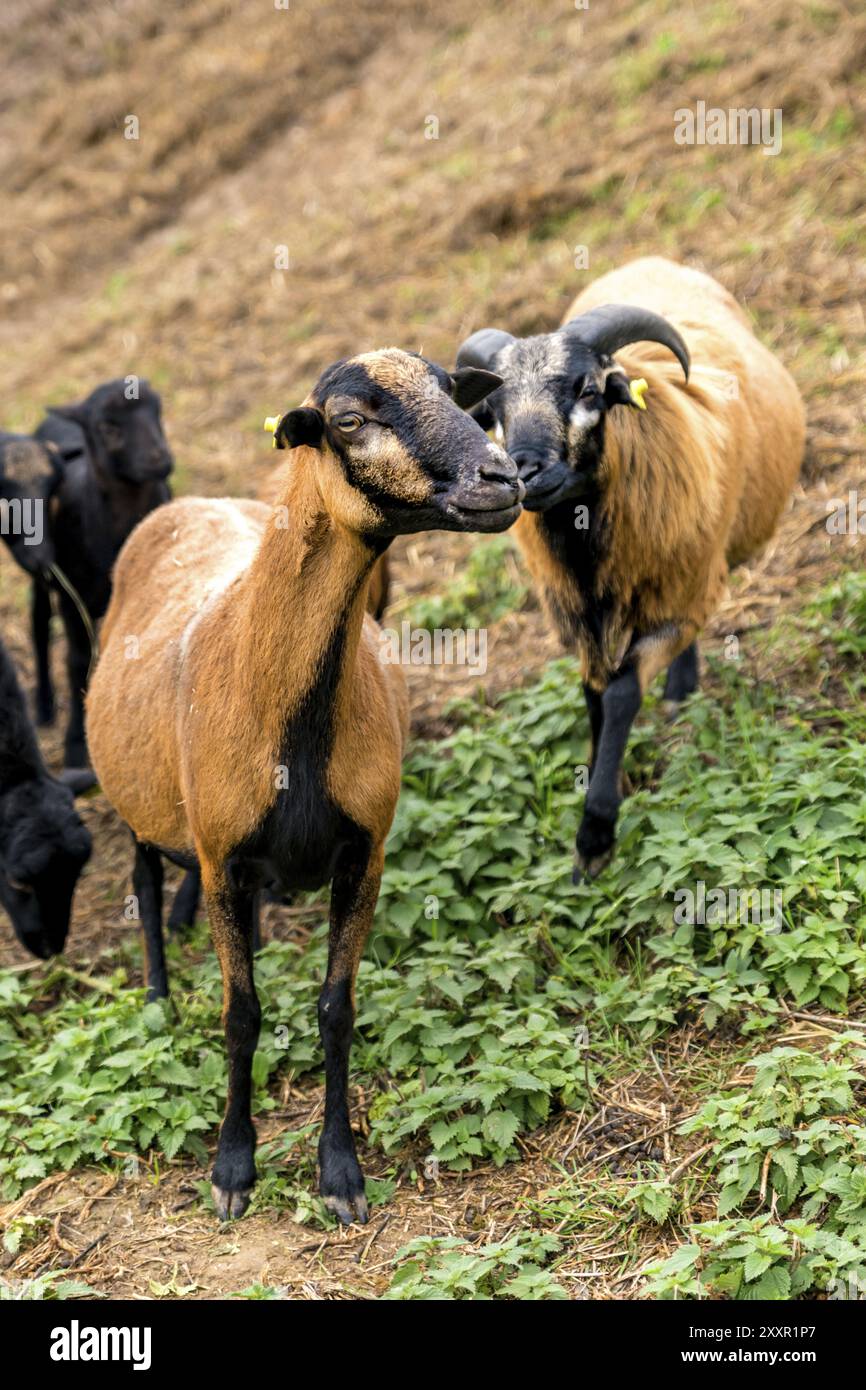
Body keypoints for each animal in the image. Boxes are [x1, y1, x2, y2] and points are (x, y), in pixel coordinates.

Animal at [86, 350, 522, 1228]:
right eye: (349, 421)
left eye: (452, 392)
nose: (501, 478)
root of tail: (195, 501)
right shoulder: (221, 858)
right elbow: (241, 1014)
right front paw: (232, 1168)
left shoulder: (364, 853)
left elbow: (335, 1009)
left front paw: (339, 1173)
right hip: (143, 811)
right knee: (145, 885)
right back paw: (156, 1003)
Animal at [461, 261, 806, 878]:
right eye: (493, 415)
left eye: (587, 390)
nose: (524, 471)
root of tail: (653, 262)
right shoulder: (580, 618)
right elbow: (594, 696)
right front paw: (605, 779)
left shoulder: (670, 601)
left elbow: (621, 695)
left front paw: (594, 836)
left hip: (694, 573)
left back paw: (680, 693)